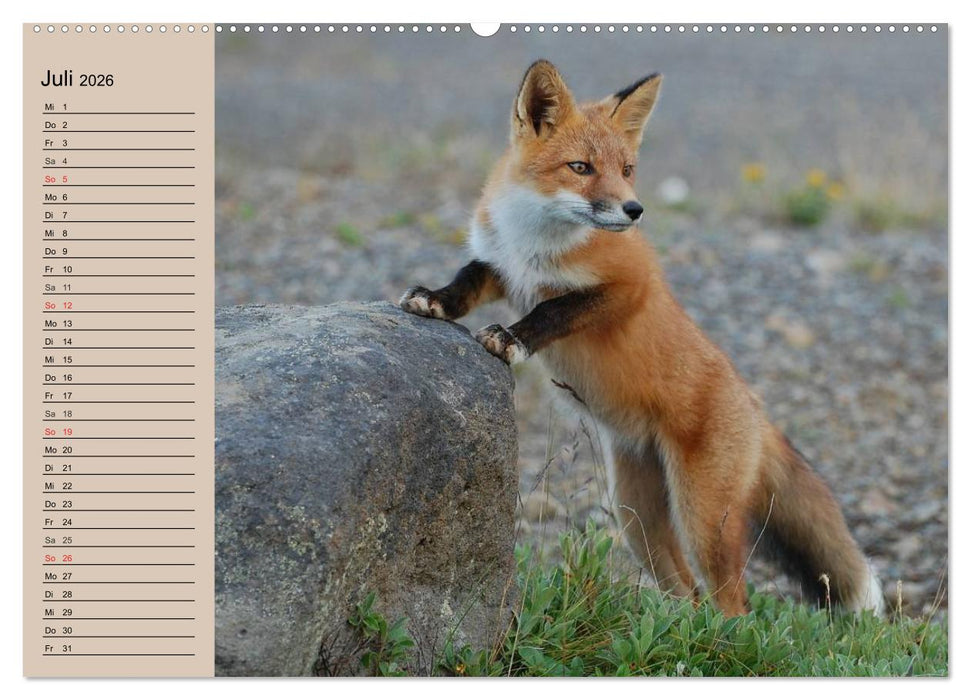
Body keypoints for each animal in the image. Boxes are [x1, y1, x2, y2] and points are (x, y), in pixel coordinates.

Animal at [399, 60, 884, 617]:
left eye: (627, 169)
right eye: (581, 167)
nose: (635, 210)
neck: (534, 243)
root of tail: (755, 408)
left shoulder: (629, 286)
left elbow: (553, 309)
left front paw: (512, 338)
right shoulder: (501, 267)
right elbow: (466, 279)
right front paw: (434, 301)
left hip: (702, 519)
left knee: (732, 603)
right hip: (636, 517)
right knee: (688, 594)